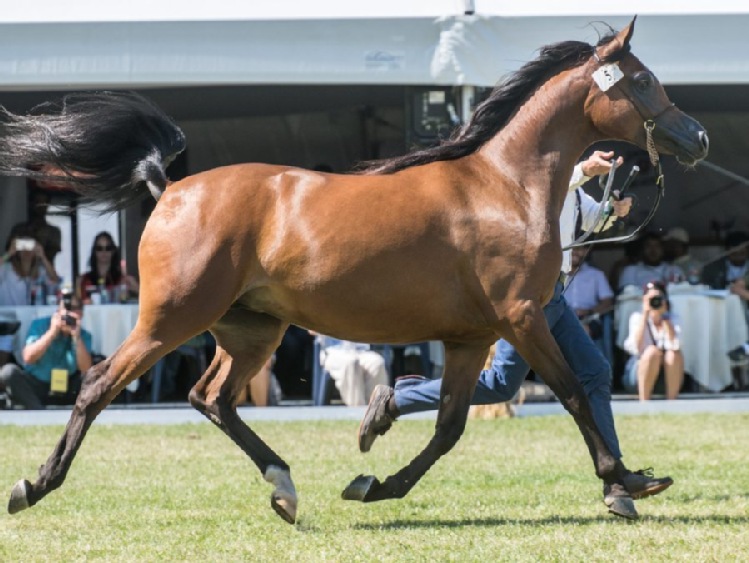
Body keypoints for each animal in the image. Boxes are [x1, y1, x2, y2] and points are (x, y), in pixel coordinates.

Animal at [0, 19, 704, 528]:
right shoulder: (523, 318)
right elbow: (575, 393)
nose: (695, 138)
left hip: (251, 330)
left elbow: (449, 427)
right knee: (99, 385)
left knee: (212, 399)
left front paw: (373, 482)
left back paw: (284, 489)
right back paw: (33, 486)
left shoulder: (470, 338)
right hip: (171, 319)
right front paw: (629, 479)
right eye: (642, 80)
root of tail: (168, 186)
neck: (504, 186)